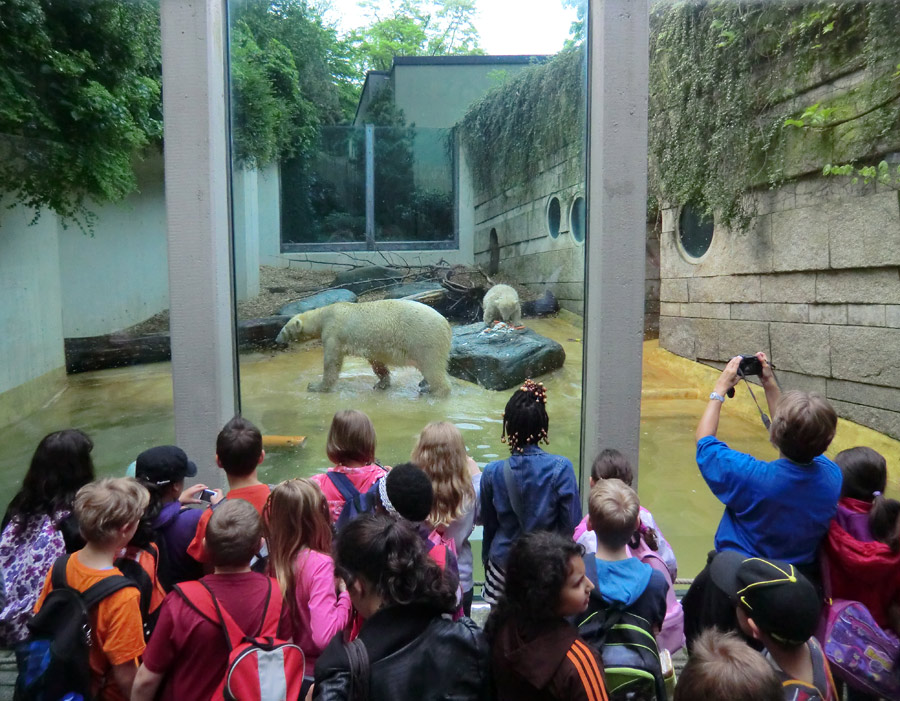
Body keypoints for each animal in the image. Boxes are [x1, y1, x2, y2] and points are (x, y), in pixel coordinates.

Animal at [278, 300, 454, 396]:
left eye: (284, 329)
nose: (276, 339)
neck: (325, 314)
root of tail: (446, 324)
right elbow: (376, 362)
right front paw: (382, 383)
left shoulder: (334, 332)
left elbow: (332, 362)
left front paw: (315, 386)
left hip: (425, 341)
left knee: (432, 368)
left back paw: (434, 392)